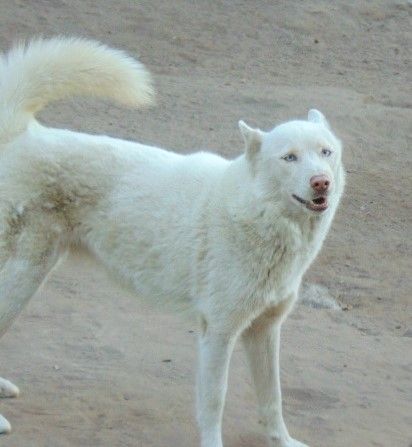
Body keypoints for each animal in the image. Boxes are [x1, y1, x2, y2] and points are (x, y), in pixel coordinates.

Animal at [0, 38, 344, 447]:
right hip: (23, 279)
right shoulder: (218, 332)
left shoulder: (265, 331)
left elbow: (272, 399)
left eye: (325, 152)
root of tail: (24, 133)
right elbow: (214, 401)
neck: (256, 214)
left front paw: (283, 442)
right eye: (289, 158)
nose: (321, 182)